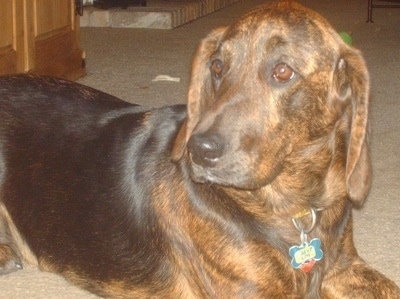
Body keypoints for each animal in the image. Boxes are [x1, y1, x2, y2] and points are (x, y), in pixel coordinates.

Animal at [0, 1, 400, 298]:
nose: (199, 150)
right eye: (218, 66)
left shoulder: (344, 267)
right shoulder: (254, 291)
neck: (295, 205)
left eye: (283, 71)